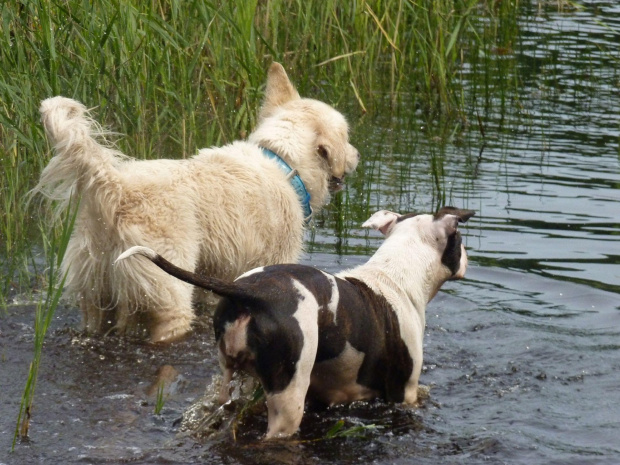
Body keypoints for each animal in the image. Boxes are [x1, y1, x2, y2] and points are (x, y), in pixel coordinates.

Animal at [35, 62, 358, 340]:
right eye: (347, 137)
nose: (357, 155)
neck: (283, 162)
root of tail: (115, 187)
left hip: (96, 298)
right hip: (167, 293)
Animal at [115, 207, 474, 438]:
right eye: (459, 241)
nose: (467, 259)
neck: (396, 275)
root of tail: (249, 292)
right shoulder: (404, 393)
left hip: (229, 374)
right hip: (287, 400)